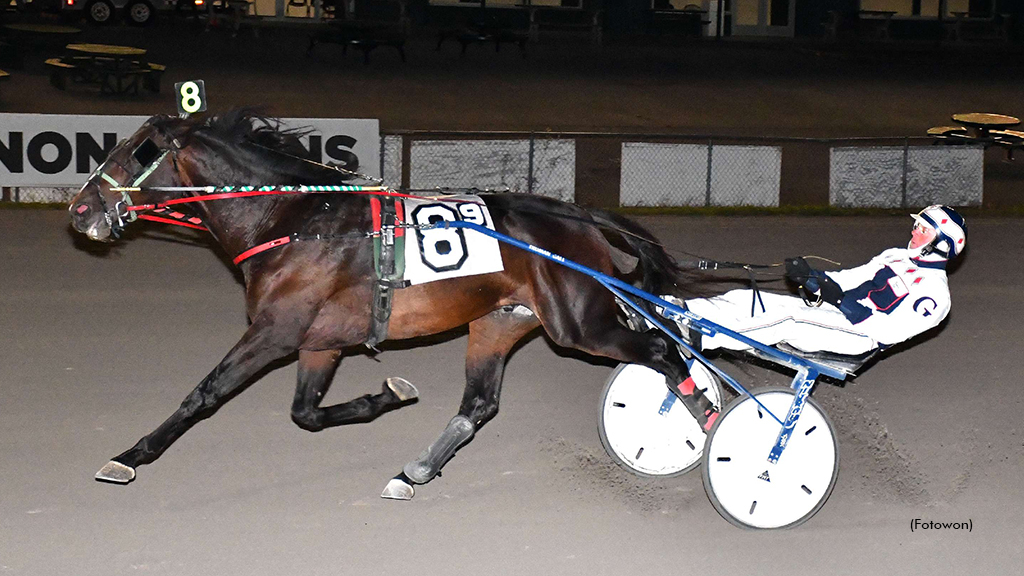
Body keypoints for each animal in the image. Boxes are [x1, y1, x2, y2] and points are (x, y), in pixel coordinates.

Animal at [68, 111, 716, 498]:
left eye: (132, 154)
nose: (79, 209)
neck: (296, 220)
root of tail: (578, 215)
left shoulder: (276, 330)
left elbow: (204, 394)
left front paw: (130, 456)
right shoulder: (319, 342)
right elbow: (306, 414)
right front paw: (390, 395)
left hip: (579, 322)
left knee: (664, 351)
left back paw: (711, 423)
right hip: (500, 321)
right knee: (479, 404)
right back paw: (415, 470)